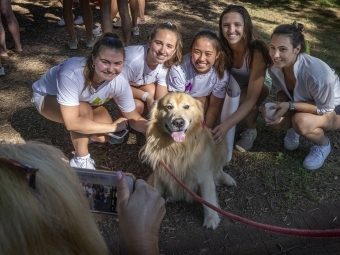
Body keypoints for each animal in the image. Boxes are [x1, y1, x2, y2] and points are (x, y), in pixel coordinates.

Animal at [141, 91, 236, 229]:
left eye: (186, 107)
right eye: (169, 107)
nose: (178, 122)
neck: (177, 147)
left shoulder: (204, 174)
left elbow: (208, 197)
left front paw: (211, 218)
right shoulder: (161, 170)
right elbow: (157, 190)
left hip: (221, 144)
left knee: (218, 171)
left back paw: (228, 179)